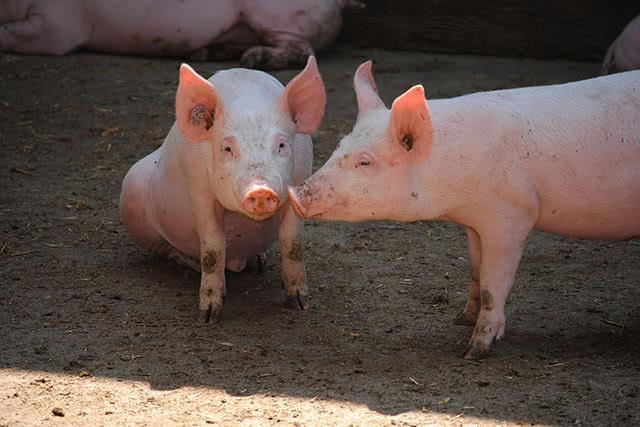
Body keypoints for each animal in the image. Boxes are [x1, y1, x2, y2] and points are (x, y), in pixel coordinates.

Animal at [119, 56, 324, 322]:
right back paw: (189, 263)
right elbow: (213, 248)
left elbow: (293, 244)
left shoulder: (300, 179)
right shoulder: (199, 191)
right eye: (227, 148)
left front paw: (300, 304)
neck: (248, 101)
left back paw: (258, 263)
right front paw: (208, 316)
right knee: (163, 249)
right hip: (131, 202)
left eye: (281, 145)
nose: (260, 190)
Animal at [288, 61, 640, 360]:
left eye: (365, 162)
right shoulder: (473, 223)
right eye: (339, 145)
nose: (294, 193)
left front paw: (473, 351)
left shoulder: (512, 217)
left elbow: (491, 286)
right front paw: (461, 318)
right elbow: (474, 269)